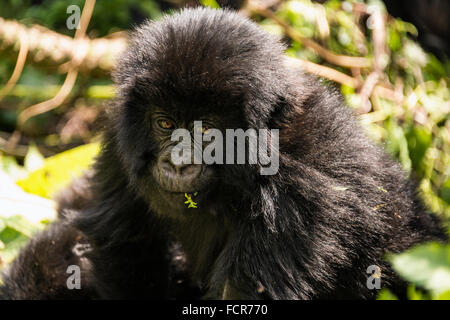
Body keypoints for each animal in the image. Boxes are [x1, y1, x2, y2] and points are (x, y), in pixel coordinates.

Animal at [0, 8, 446, 300]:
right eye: (165, 123)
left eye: (207, 131)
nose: (177, 162)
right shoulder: (117, 136)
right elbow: (124, 246)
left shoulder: (303, 188)